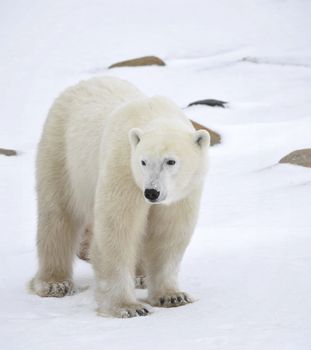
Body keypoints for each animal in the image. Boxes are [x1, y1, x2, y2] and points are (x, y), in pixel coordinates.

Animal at [29, 76, 211, 318]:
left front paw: (172, 296)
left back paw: (141, 276)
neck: (154, 114)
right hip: (62, 153)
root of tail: (80, 84)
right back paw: (54, 283)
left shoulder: (183, 192)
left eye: (171, 161)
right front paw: (129, 307)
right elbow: (117, 230)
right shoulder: (124, 169)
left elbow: (168, 233)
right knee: (58, 216)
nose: (151, 192)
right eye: (143, 161)